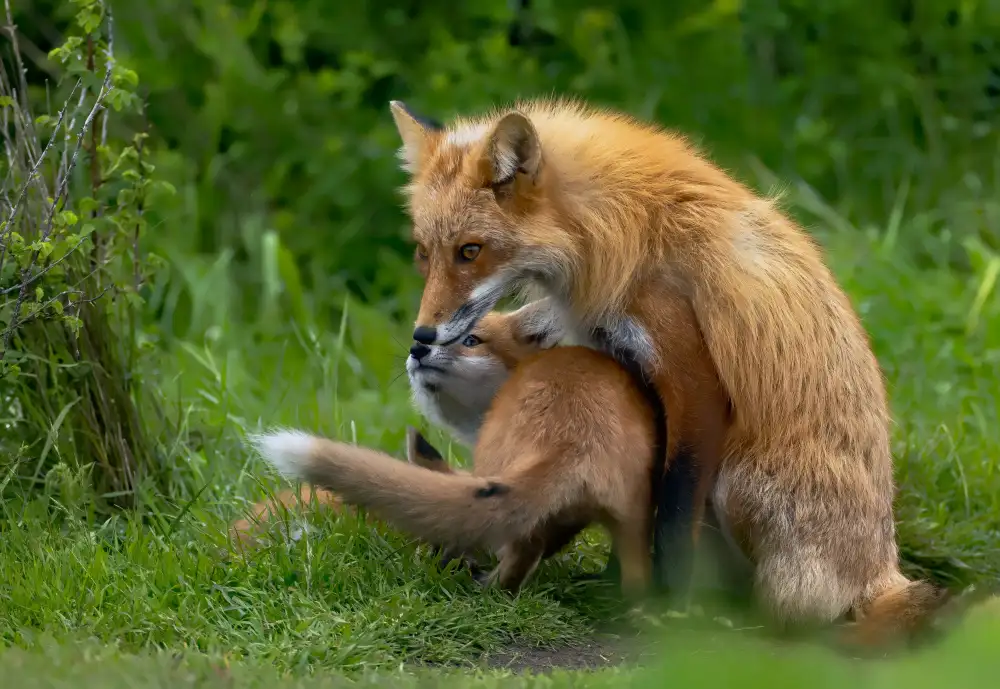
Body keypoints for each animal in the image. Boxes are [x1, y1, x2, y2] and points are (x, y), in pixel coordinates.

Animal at [384, 96, 955, 647]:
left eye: (471, 251)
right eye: (423, 253)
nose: (421, 338)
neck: (615, 229)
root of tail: (882, 571)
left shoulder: (692, 379)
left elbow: (674, 516)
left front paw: (670, 609)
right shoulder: (626, 371)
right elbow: (640, 494)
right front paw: (619, 582)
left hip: (738, 483)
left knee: (798, 615)